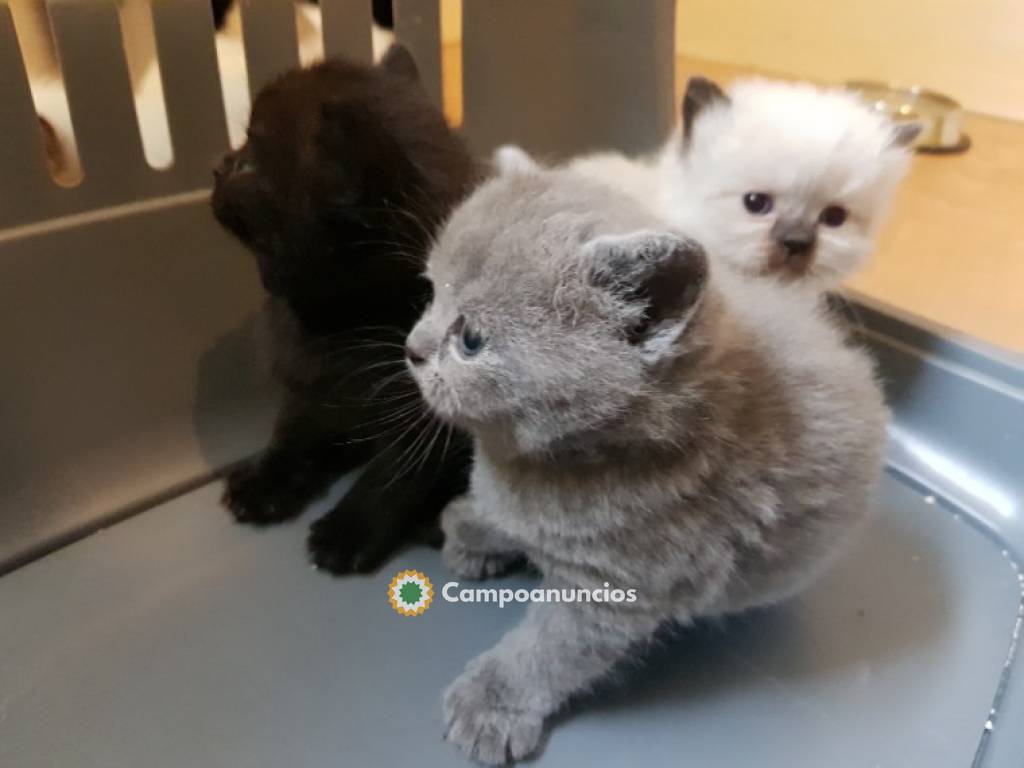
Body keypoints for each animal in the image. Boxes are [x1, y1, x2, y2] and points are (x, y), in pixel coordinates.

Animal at [210, 48, 479, 573]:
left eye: (249, 165)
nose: (217, 164)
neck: (334, 323)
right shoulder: (308, 385)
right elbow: (292, 430)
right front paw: (265, 480)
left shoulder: (429, 422)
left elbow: (397, 471)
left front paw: (348, 529)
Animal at [403, 163, 884, 765]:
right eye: (430, 292)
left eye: (470, 339)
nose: (412, 347)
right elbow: (503, 520)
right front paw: (473, 528)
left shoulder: (614, 591)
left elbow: (547, 653)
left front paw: (492, 703)